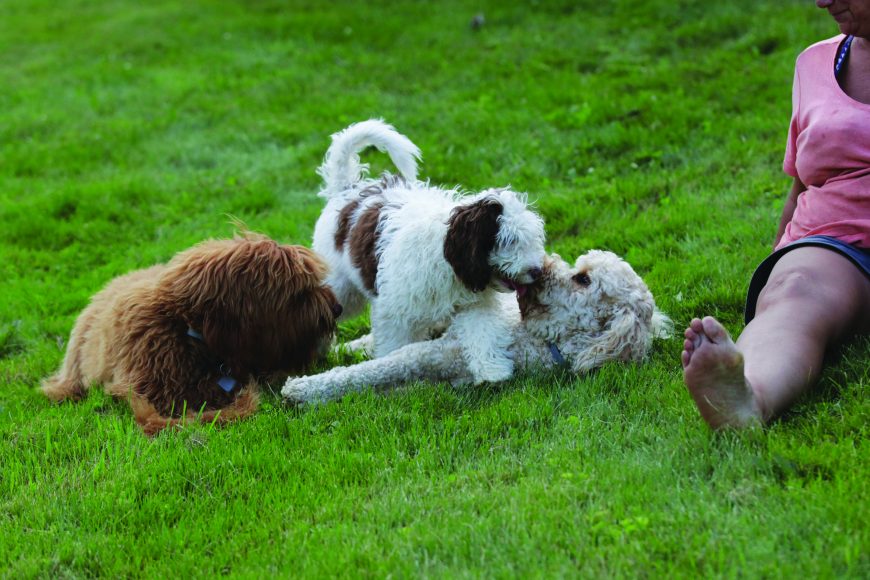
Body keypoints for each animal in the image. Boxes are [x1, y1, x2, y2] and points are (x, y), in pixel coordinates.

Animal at [286, 251, 676, 406]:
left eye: (583, 280)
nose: (542, 266)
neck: (536, 339)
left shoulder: (436, 357)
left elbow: (376, 371)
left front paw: (302, 389)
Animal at [312, 120, 544, 382]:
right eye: (508, 240)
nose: (537, 271)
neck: (447, 258)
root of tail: (347, 188)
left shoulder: (473, 304)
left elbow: (481, 330)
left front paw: (492, 370)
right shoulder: (395, 312)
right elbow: (394, 346)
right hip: (342, 289)